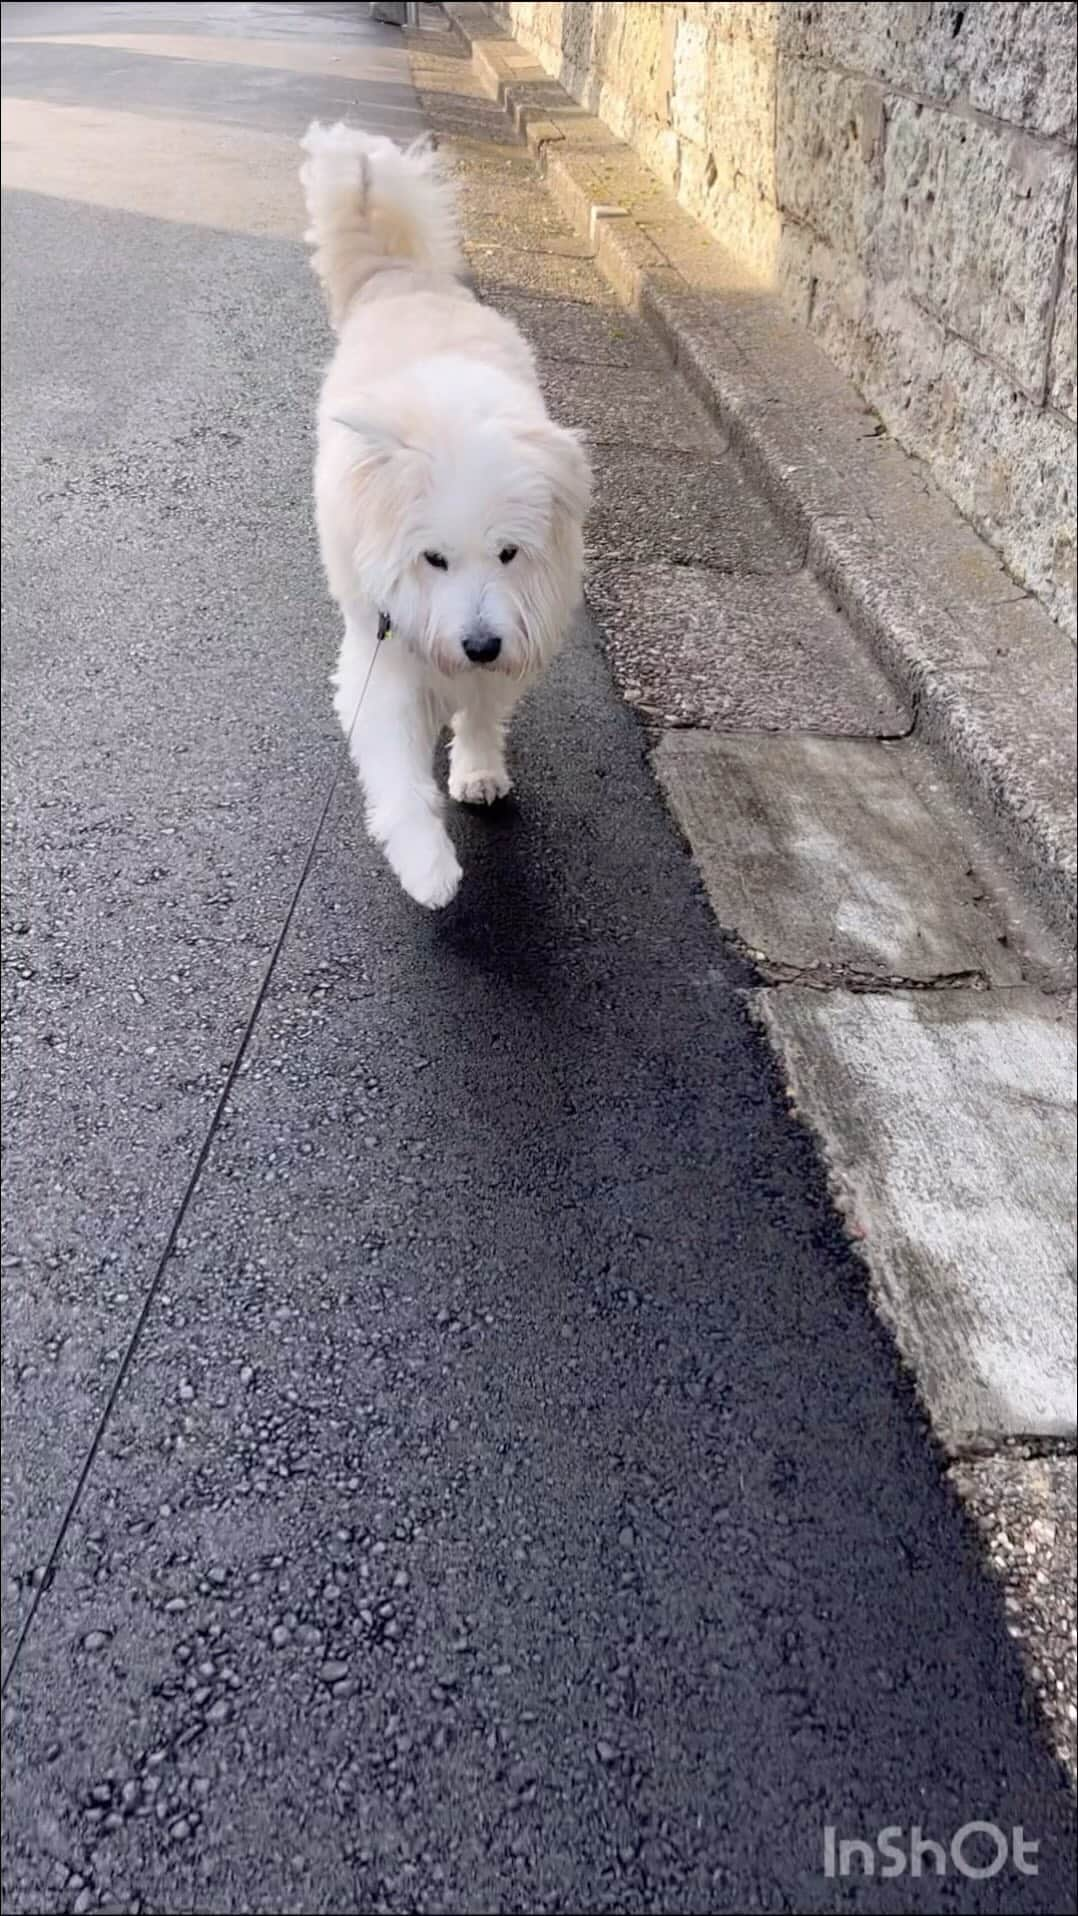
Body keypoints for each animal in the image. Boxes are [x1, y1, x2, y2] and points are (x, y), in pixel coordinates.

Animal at [298, 123, 593, 908]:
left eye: (509, 553)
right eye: (433, 559)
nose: (480, 645)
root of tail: (402, 278)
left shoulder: (516, 621)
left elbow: (484, 710)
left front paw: (479, 771)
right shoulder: (381, 646)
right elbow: (397, 766)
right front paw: (426, 865)